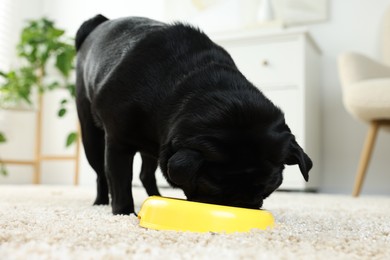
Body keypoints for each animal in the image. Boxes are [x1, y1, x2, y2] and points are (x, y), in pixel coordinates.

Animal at [75, 14, 314, 214]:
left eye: (267, 188)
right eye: (212, 189)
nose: (242, 204)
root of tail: (100, 22)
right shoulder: (118, 143)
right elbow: (120, 181)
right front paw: (124, 212)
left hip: (150, 148)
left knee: (146, 174)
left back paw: (156, 196)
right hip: (91, 136)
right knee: (101, 173)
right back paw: (100, 202)